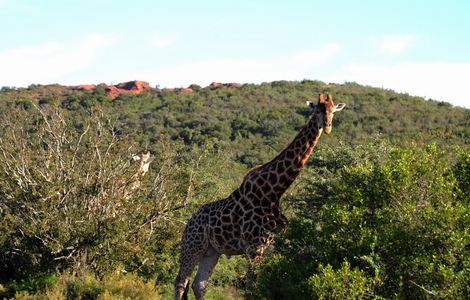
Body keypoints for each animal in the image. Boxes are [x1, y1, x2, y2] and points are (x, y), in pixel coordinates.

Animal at [173, 92, 346, 298]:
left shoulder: (270, 246)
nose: (327, 126)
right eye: (318, 111)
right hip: (193, 246)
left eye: (333, 111)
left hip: (212, 251)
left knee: (199, 284)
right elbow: (251, 288)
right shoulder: (254, 247)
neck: (273, 192)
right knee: (181, 281)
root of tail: (188, 222)